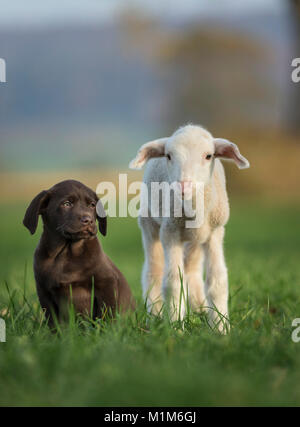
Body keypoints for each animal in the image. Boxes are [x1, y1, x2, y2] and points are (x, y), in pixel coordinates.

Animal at [130, 125, 250, 332]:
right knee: (153, 271)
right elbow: (172, 282)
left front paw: (220, 328)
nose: (184, 186)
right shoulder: (170, 232)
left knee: (191, 271)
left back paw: (199, 308)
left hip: (195, 239)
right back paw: (154, 316)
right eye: (168, 156)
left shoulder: (215, 233)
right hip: (149, 222)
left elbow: (217, 280)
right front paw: (176, 328)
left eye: (208, 156)